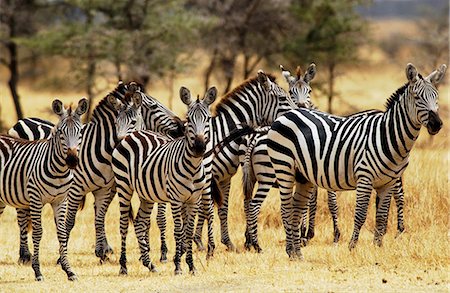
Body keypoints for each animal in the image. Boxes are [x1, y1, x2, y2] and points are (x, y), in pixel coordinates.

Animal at [0, 97, 87, 280]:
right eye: (61, 133)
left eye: (80, 132)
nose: (72, 161)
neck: (59, 171)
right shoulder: (35, 199)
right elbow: (38, 232)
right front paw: (37, 271)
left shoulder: (60, 201)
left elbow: (61, 231)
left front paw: (68, 270)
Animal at [112, 86, 218, 274]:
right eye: (188, 119)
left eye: (207, 119)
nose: (199, 147)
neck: (192, 166)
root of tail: (133, 136)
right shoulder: (174, 199)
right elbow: (177, 229)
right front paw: (177, 264)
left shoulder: (192, 199)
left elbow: (187, 230)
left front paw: (190, 264)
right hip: (125, 187)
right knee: (125, 223)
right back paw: (124, 266)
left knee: (209, 211)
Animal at [192, 69, 298, 254]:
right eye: (283, 98)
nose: (298, 114)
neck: (222, 135)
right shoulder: (208, 177)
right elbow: (204, 207)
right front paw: (199, 242)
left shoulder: (225, 177)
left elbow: (222, 209)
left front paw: (227, 242)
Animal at [268, 62, 446, 258]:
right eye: (417, 97)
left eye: (436, 96)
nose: (437, 124)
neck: (387, 135)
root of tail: (289, 113)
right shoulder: (365, 178)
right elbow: (360, 214)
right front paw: (352, 246)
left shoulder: (388, 182)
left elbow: (381, 216)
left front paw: (378, 248)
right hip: (284, 167)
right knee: (286, 208)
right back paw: (291, 249)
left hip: (302, 175)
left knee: (296, 207)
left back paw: (296, 253)